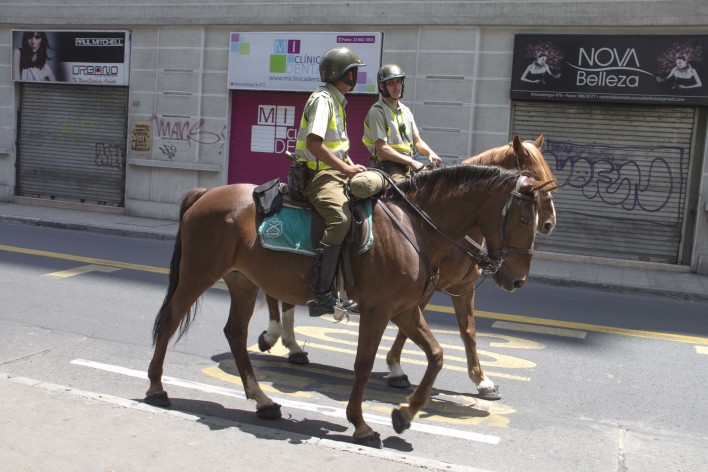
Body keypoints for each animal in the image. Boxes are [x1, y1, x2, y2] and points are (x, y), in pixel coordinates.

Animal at [145, 162, 552, 446]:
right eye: (522, 217)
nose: (517, 279)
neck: (414, 227)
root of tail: (205, 193)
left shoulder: (405, 310)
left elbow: (437, 356)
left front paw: (405, 414)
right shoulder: (378, 311)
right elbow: (363, 365)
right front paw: (361, 424)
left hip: (242, 282)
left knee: (235, 334)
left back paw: (263, 399)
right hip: (198, 273)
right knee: (171, 320)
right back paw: (157, 388)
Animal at [260, 135, 560, 400]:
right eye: (533, 175)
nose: (549, 224)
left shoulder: (462, 287)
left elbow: (468, 332)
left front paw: (482, 380)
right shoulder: (424, 289)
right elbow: (409, 327)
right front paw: (395, 368)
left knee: (282, 294)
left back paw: (291, 345)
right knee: (275, 293)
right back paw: (277, 336)